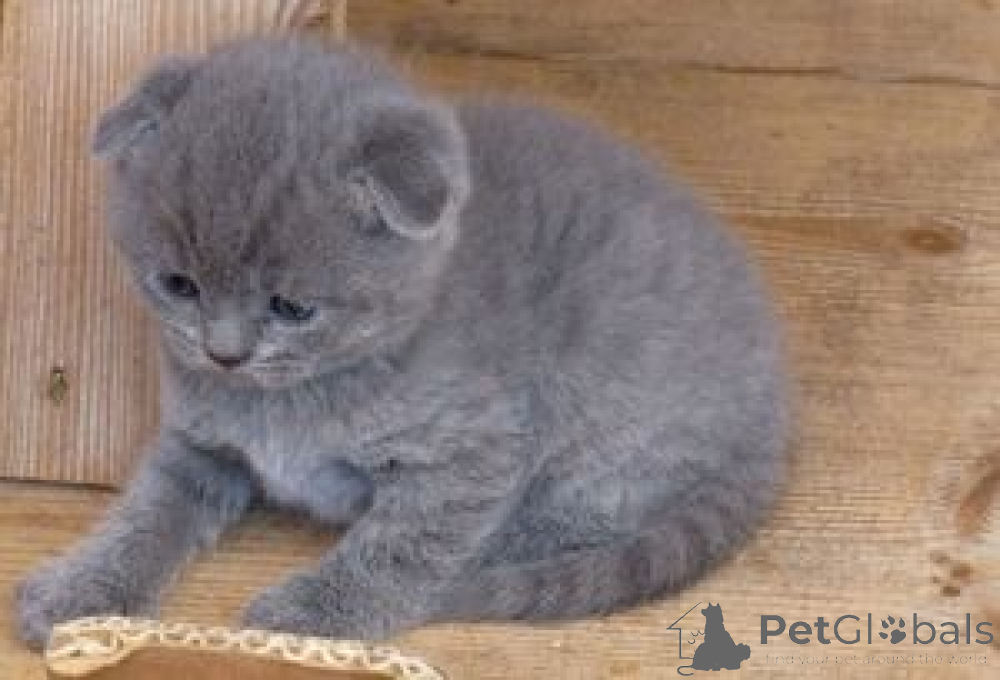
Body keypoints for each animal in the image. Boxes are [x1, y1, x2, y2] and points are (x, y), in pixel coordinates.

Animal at [17, 37, 788, 647]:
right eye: (179, 285)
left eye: (292, 307)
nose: (224, 354)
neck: (298, 394)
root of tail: (773, 421)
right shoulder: (198, 444)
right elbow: (146, 513)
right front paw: (79, 589)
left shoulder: (473, 454)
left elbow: (402, 544)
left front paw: (317, 608)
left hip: (605, 416)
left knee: (574, 519)